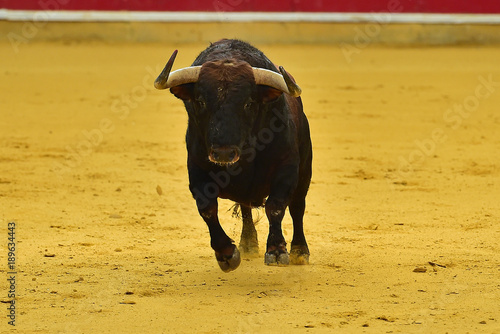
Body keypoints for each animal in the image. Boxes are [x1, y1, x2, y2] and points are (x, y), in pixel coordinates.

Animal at [154, 39, 312, 272]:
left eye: (248, 103)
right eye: (200, 101)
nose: (223, 153)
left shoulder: (287, 168)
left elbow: (275, 207)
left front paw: (276, 251)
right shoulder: (197, 170)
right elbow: (207, 209)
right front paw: (226, 254)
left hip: (305, 170)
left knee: (297, 207)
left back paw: (300, 251)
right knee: (246, 208)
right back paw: (248, 243)